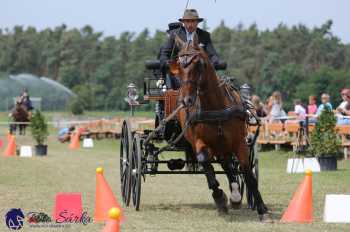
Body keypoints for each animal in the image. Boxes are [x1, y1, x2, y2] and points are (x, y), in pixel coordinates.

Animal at [172, 34, 270, 221]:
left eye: (198, 64)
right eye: (179, 65)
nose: (186, 100)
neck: (215, 107)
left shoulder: (239, 144)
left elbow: (248, 174)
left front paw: (262, 209)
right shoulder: (199, 143)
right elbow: (207, 167)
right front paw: (220, 198)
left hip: (225, 145)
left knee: (230, 167)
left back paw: (236, 195)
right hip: (217, 146)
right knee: (224, 165)